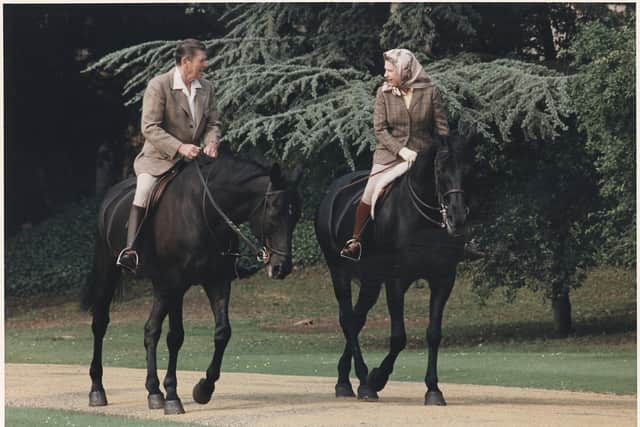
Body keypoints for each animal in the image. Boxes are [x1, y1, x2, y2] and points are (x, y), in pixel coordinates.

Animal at [83, 153, 302, 414]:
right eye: (274, 213)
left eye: (296, 215)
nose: (282, 267)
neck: (205, 211)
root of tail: (112, 194)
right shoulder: (176, 284)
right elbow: (175, 336)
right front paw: (172, 396)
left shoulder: (216, 281)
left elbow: (222, 332)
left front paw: (203, 389)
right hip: (109, 271)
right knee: (101, 324)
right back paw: (98, 389)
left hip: (161, 288)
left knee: (151, 330)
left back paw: (153, 391)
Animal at [316, 135, 470, 406]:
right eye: (440, 169)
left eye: (466, 169)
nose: (457, 218)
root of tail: (333, 191)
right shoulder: (396, 280)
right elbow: (399, 337)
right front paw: (377, 378)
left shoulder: (443, 279)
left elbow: (434, 333)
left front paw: (433, 389)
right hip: (339, 273)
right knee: (348, 320)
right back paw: (362, 381)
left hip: (370, 281)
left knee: (357, 319)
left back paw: (345, 380)